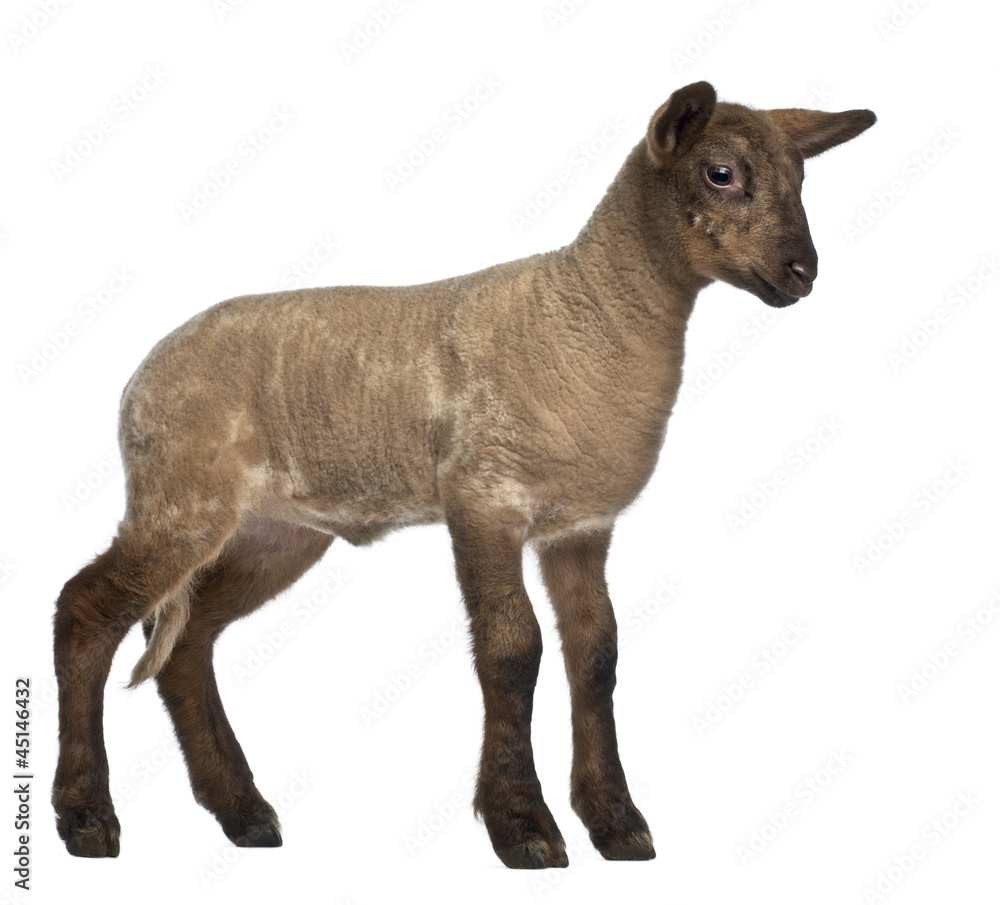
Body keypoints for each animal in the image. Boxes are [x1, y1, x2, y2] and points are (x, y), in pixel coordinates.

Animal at [52, 80, 876, 868]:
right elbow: (513, 649)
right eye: (721, 173)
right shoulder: (484, 496)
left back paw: (244, 813)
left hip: (271, 531)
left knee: (184, 643)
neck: (593, 312)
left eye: (803, 176)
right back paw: (87, 817)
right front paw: (523, 826)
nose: (803, 271)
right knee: (85, 611)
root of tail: (141, 376)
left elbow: (596, 653)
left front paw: (616, 823)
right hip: (179, 494)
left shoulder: (580, 524)